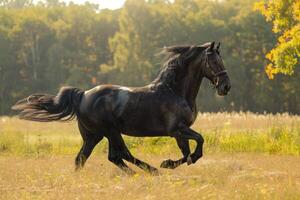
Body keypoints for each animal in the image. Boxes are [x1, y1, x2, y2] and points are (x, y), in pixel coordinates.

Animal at [12, 41, 231, 174]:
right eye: (213, 61)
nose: (225, 87)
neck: (175, 91)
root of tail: (83, 95)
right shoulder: (177, 129)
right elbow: (199, 143)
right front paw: (166, 164)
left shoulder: (179, 132)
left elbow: (187, 153)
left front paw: (171, 163)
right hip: (110, 131)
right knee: (120, 154)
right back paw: (151, 172)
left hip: (95, 135)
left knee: (85, 158)